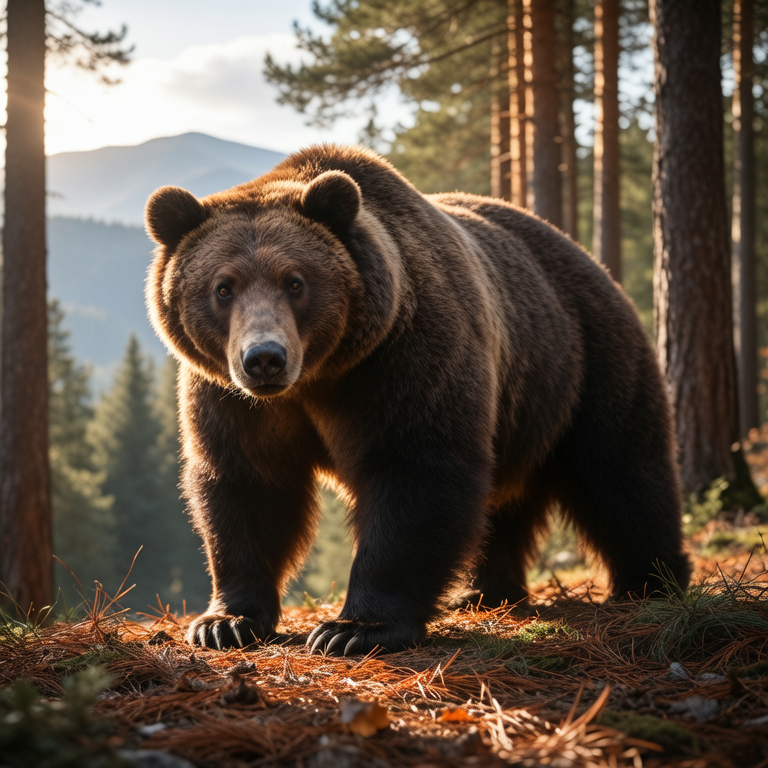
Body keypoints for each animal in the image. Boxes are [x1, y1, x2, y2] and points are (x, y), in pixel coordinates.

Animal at [144, 144, 690, 656]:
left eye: (295, 281)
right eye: (223, 287)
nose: (264, 358)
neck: (319, 377)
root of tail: (587, 257)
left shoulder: (404, 356)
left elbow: (415, 470)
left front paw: (353, 629)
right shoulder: (235, 400)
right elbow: (247, 482)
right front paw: (225, 622)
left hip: (586, 360)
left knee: (622, 471)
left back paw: (651, 582)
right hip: (522, 406)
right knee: (505, 502)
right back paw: (484, 591)